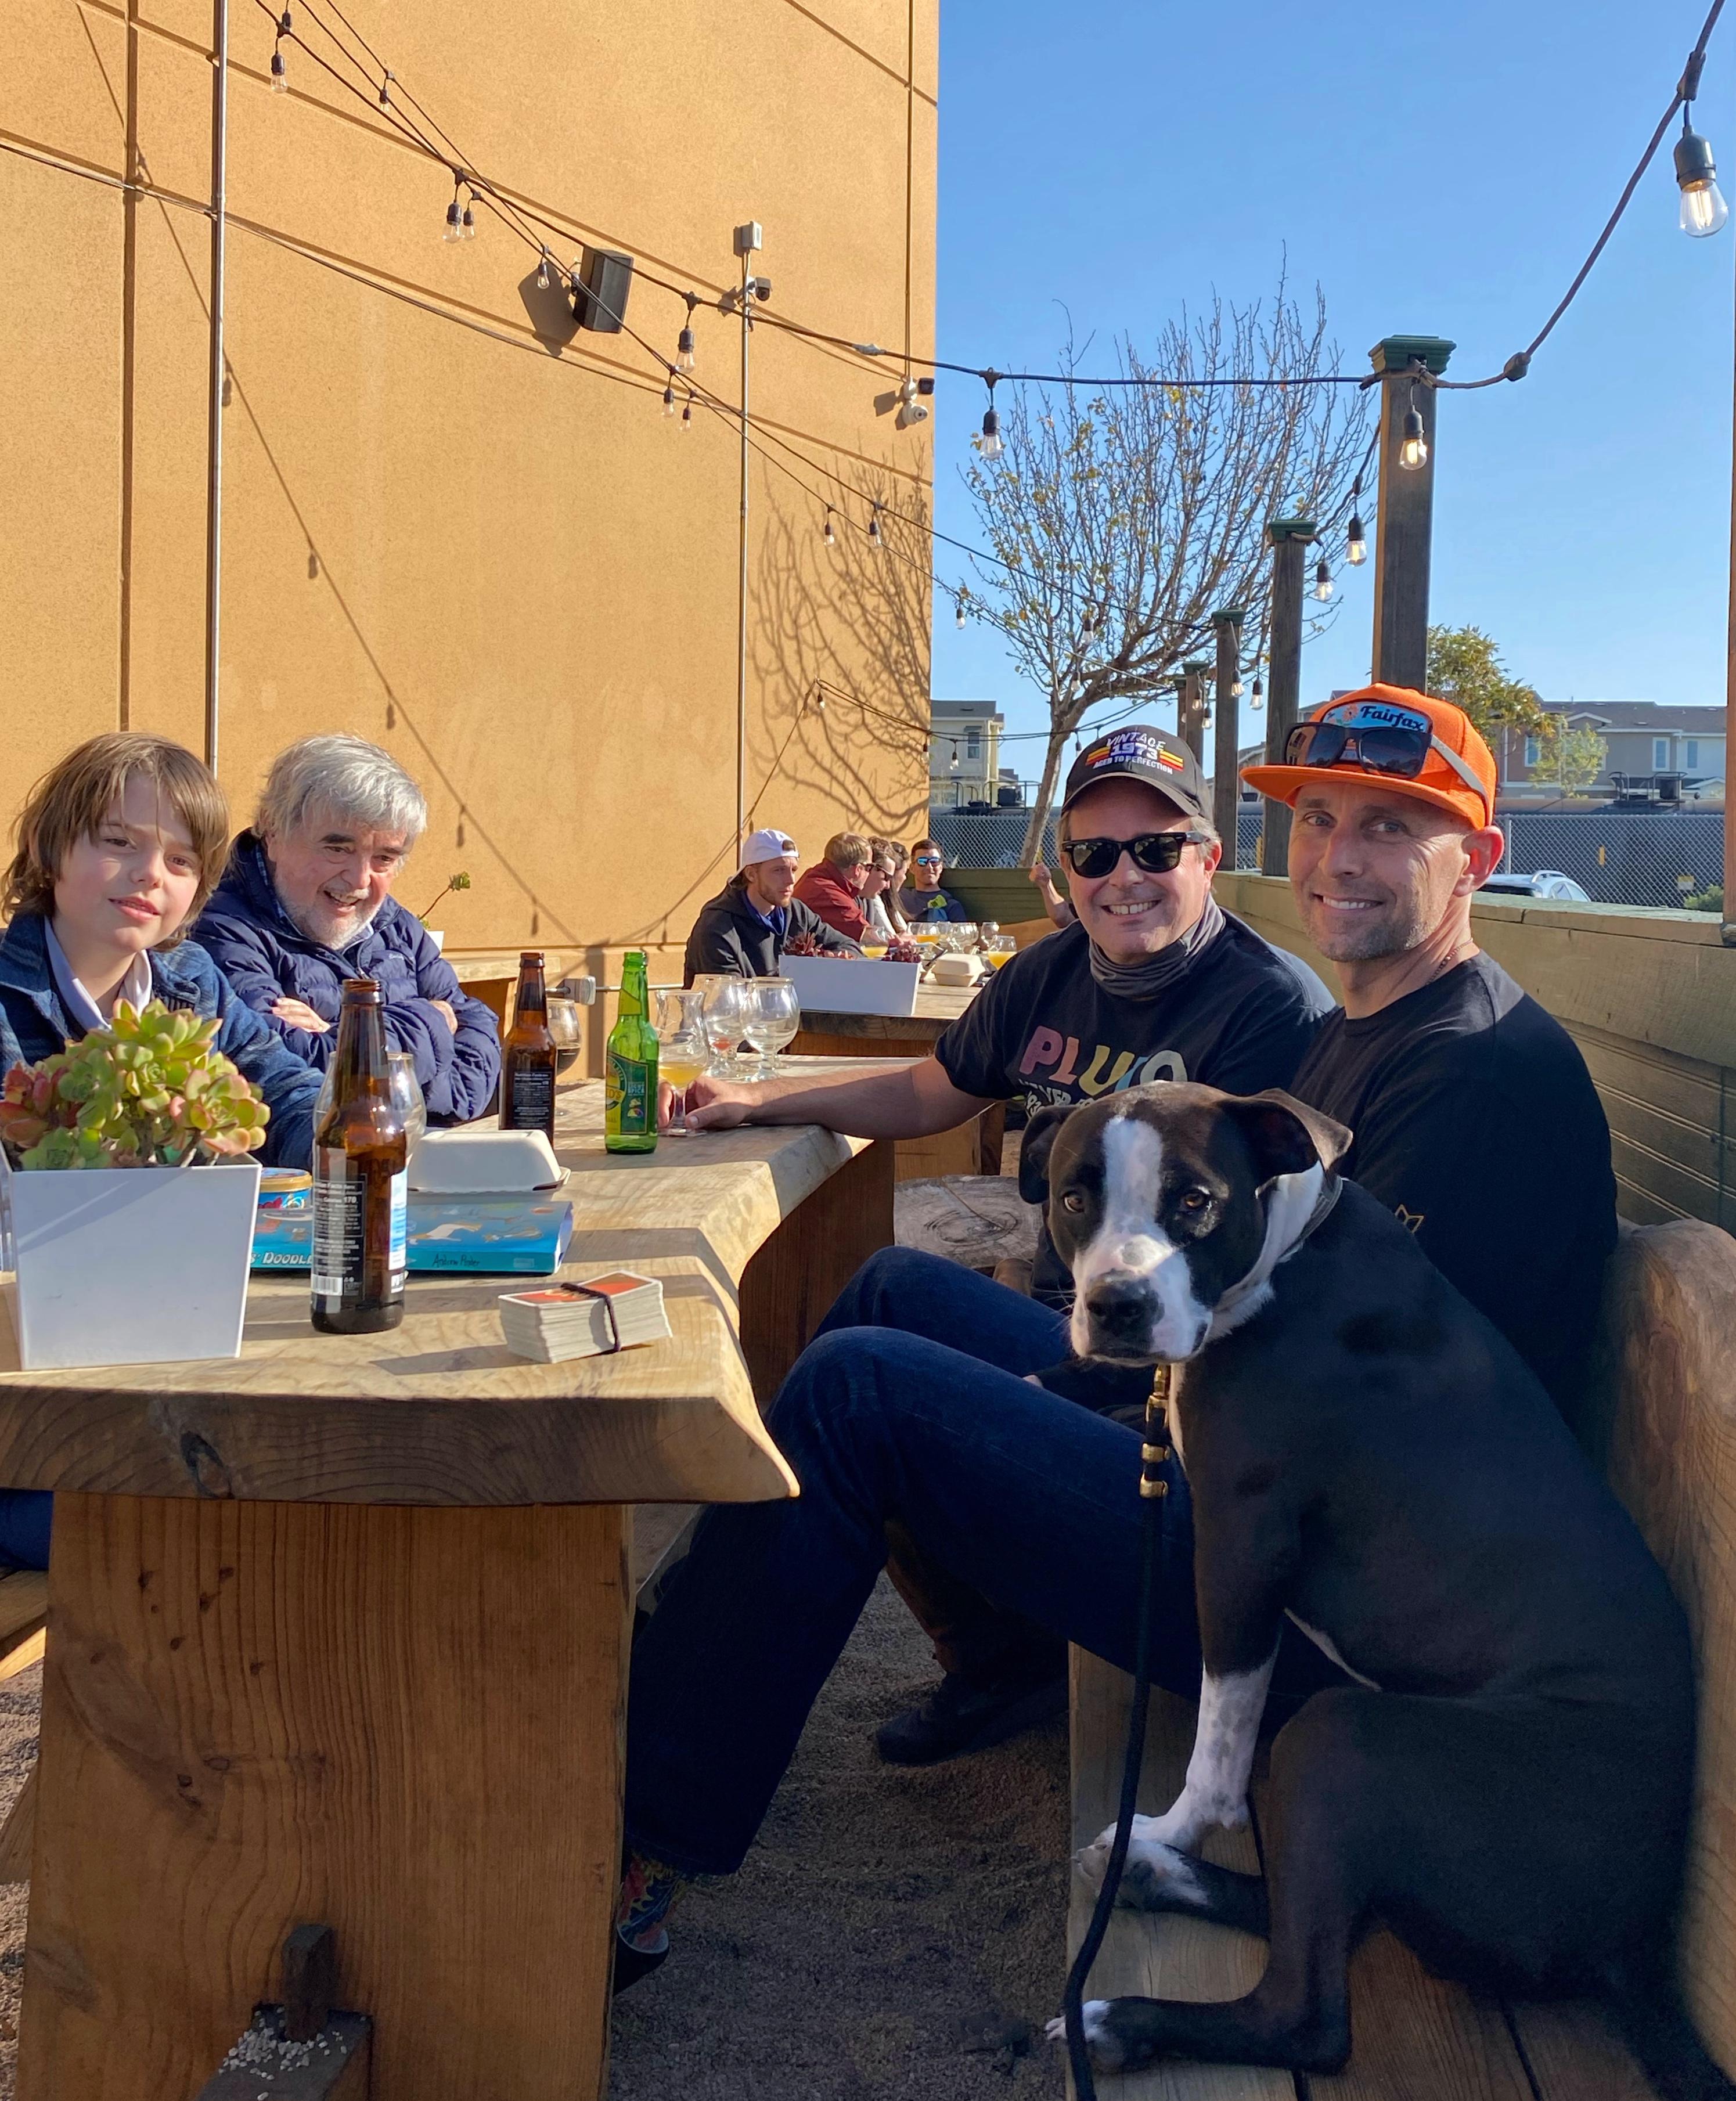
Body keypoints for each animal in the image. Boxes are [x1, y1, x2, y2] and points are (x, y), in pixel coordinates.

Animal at [1019, 1081, 1730, 2099]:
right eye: (1074, 1197)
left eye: (1193, 1200)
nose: (1116, 1303)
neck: (1286, 1256)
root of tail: (1630, 1943)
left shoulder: (1239, 1544)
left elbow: (1221, 1735)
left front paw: (1185, 1823)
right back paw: (1148, 1877)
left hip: (1342, 1735)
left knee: (1307, 2013)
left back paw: (1122, 2009)